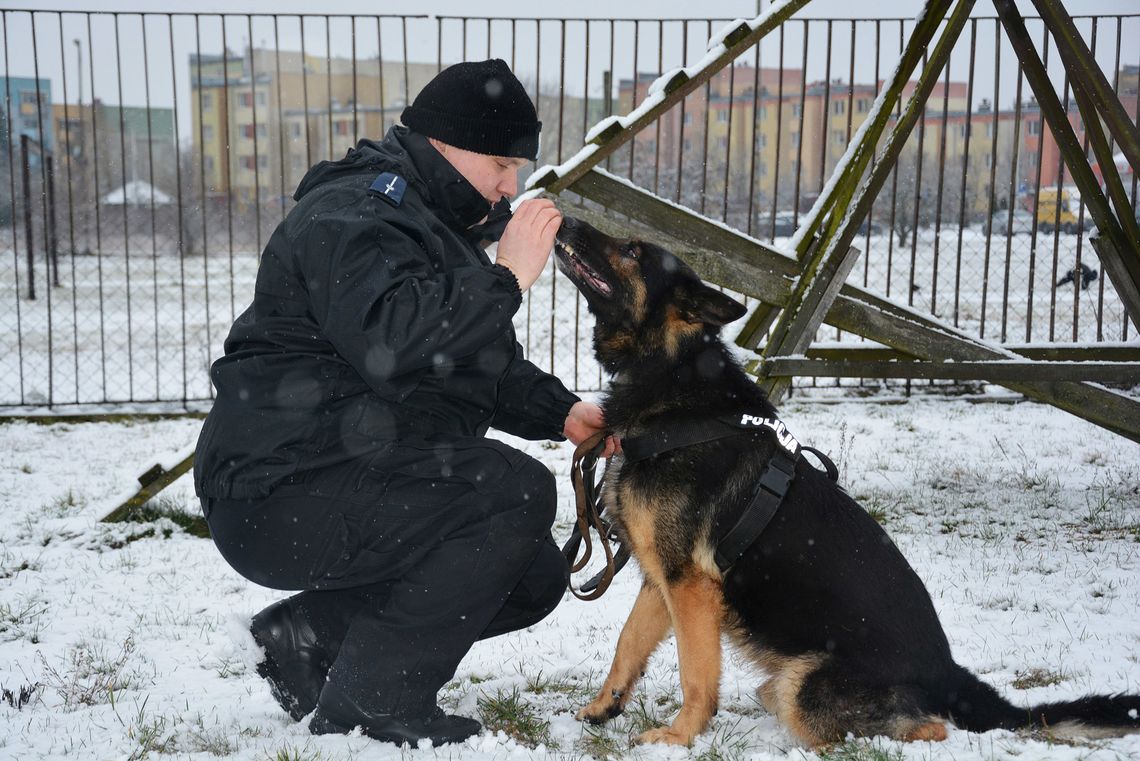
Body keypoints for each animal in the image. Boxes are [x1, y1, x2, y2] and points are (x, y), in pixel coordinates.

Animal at [551, 215, 1140, 747]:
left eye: (632, 249)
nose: (566, 220)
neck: (673, 375)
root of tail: (947, 673)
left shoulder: (689, 586)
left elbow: (697, 672)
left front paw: (678, 736)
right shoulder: (661, 579)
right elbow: (628, 643)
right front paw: (605, 707)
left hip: (802, 687)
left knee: (921, 730)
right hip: (780, 680)